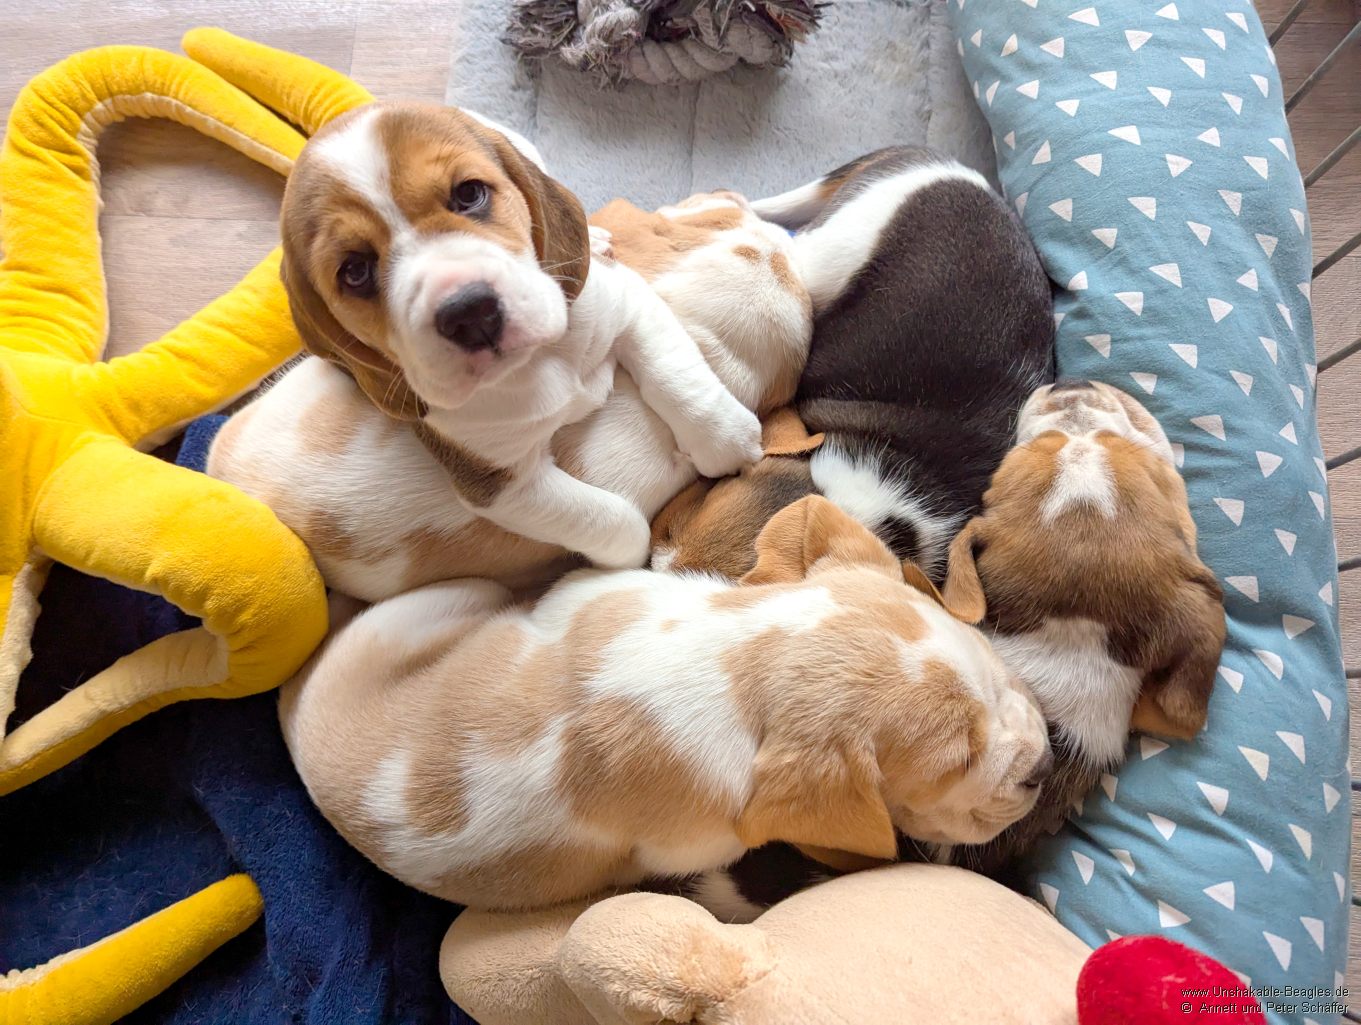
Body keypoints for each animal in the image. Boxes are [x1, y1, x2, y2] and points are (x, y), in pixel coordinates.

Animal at [208, 103, 811, 600]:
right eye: (354, 271)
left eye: (469, 194)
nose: (470, 311)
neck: (542, 363)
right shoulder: (501, 485)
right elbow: (609, 518)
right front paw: (628, 554)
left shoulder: (626, 304)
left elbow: (677, 374)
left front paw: (725, 440)